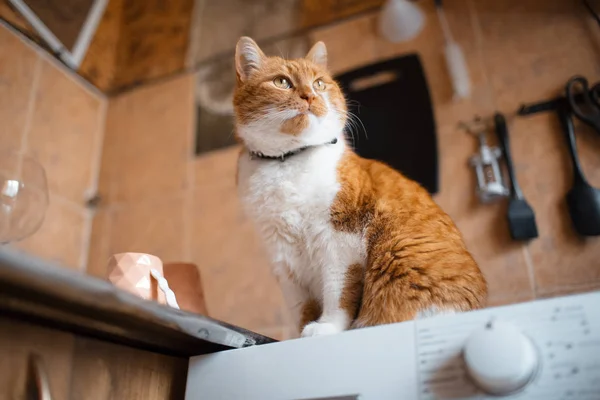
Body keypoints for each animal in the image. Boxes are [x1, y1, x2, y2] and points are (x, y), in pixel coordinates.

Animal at [232, 37, 486, 338]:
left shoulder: (340, 239)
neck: (288, 162)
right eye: (282, 82)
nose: (310, 96)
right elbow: (300, 309)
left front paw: (326, 327)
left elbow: (338, 291)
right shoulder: (282, 258)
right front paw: (293, 337)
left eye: (319, 83)